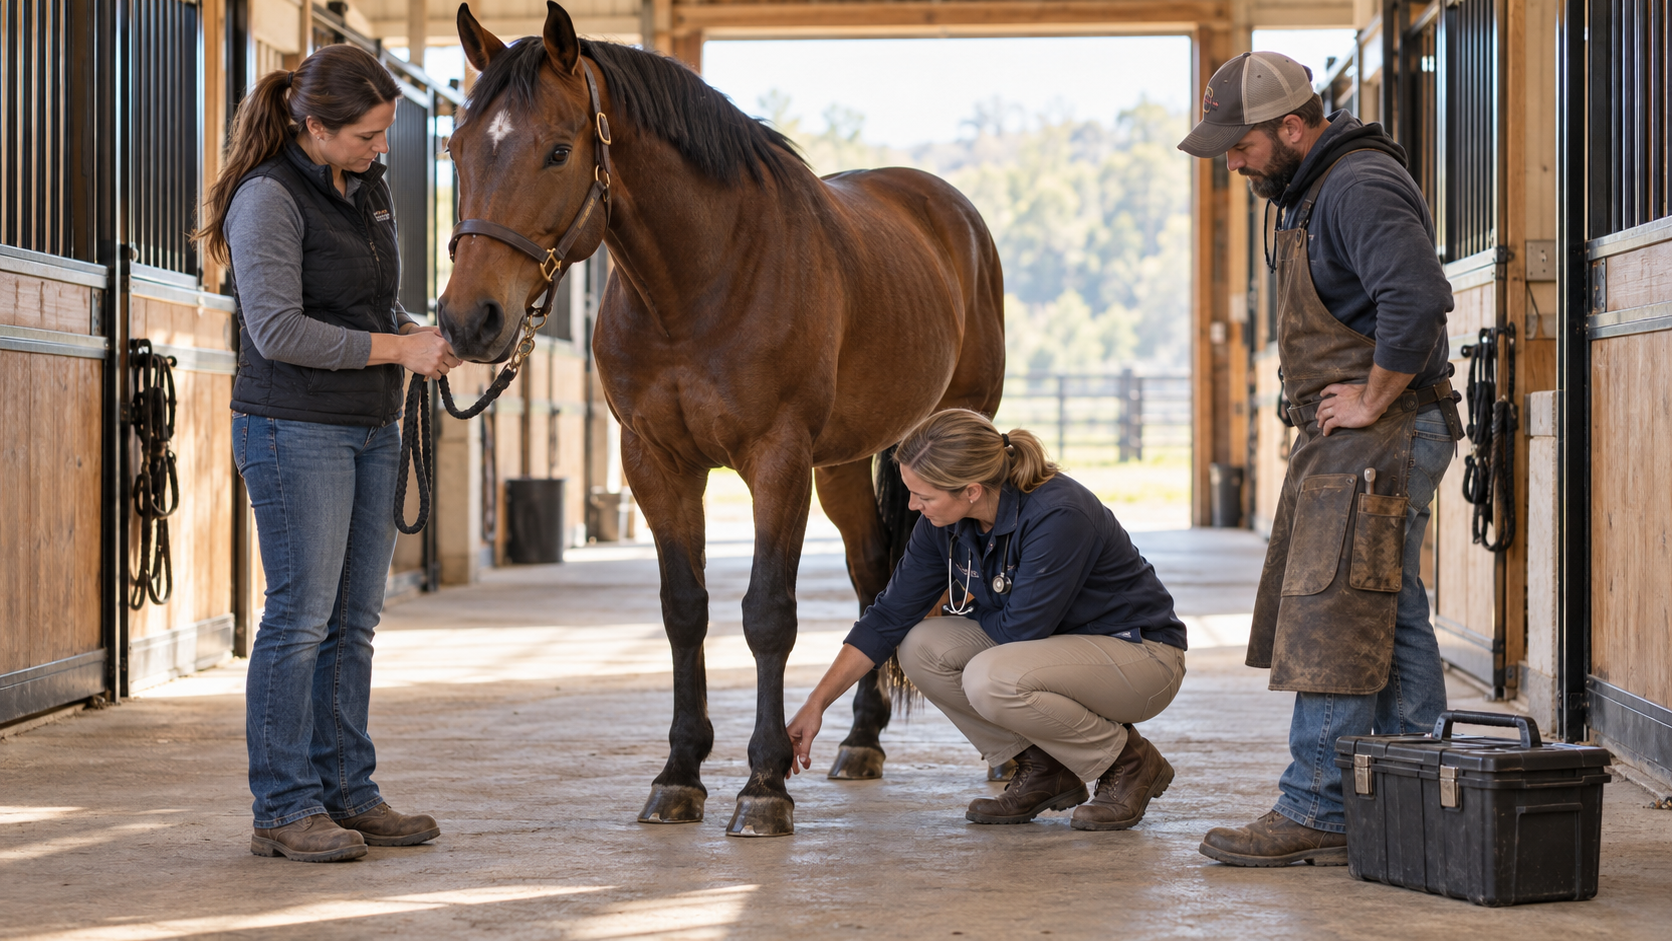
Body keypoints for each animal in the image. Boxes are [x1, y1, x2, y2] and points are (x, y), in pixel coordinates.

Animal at [439, 1, 1005, 837]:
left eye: (558, 151)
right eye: (457, 147)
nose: (467, 319)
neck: (698, 284)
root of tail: (948, 211)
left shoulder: (777, 460)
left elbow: (767, 614)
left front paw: (763, 784)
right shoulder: (655, 462)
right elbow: (684, 610)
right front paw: (679, 774)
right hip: (842, 465)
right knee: (873, 574)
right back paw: (862, 739)